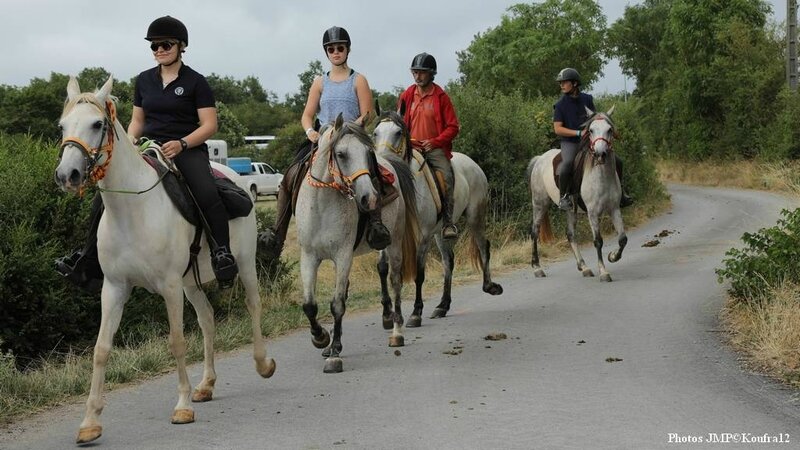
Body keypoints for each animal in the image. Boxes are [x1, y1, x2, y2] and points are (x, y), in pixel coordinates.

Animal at [54, 76, 276, 442]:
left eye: (97, 124)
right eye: (62, 126)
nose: (67, 175)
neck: (132, 210)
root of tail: (233, 176)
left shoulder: (169, 287)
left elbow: (177, 341)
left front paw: (182, 406)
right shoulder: (114, 288)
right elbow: (101, 349)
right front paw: (90, 421)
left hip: (243, 265)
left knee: (253, 305)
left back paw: (262, 364)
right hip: (191, 283)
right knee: (208, 318)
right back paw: (206, 384)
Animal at [296, 114, 418, 374]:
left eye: (367, 153)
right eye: (341, 154)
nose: (369, 197)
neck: (321, 206)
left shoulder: (343, 256)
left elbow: (337, 304)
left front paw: (334, 354)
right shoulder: (309, 257)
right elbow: (310, 305)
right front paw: (321, 338)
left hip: (395, 243)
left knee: (394, 281)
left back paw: (396, 332)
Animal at [374, 110, 500, 326]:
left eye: (398, 133)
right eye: (375, 133)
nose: (383, 164)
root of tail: (473, 164)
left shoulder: (422, 237)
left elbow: (419, 274)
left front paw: (416, 313)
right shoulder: (389, 235)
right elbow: (382, 268)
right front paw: (387, 315)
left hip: (475, 216)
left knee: (483, 247)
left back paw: (490, 286)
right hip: (441, 232)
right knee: (448, 261)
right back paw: (442, 305)